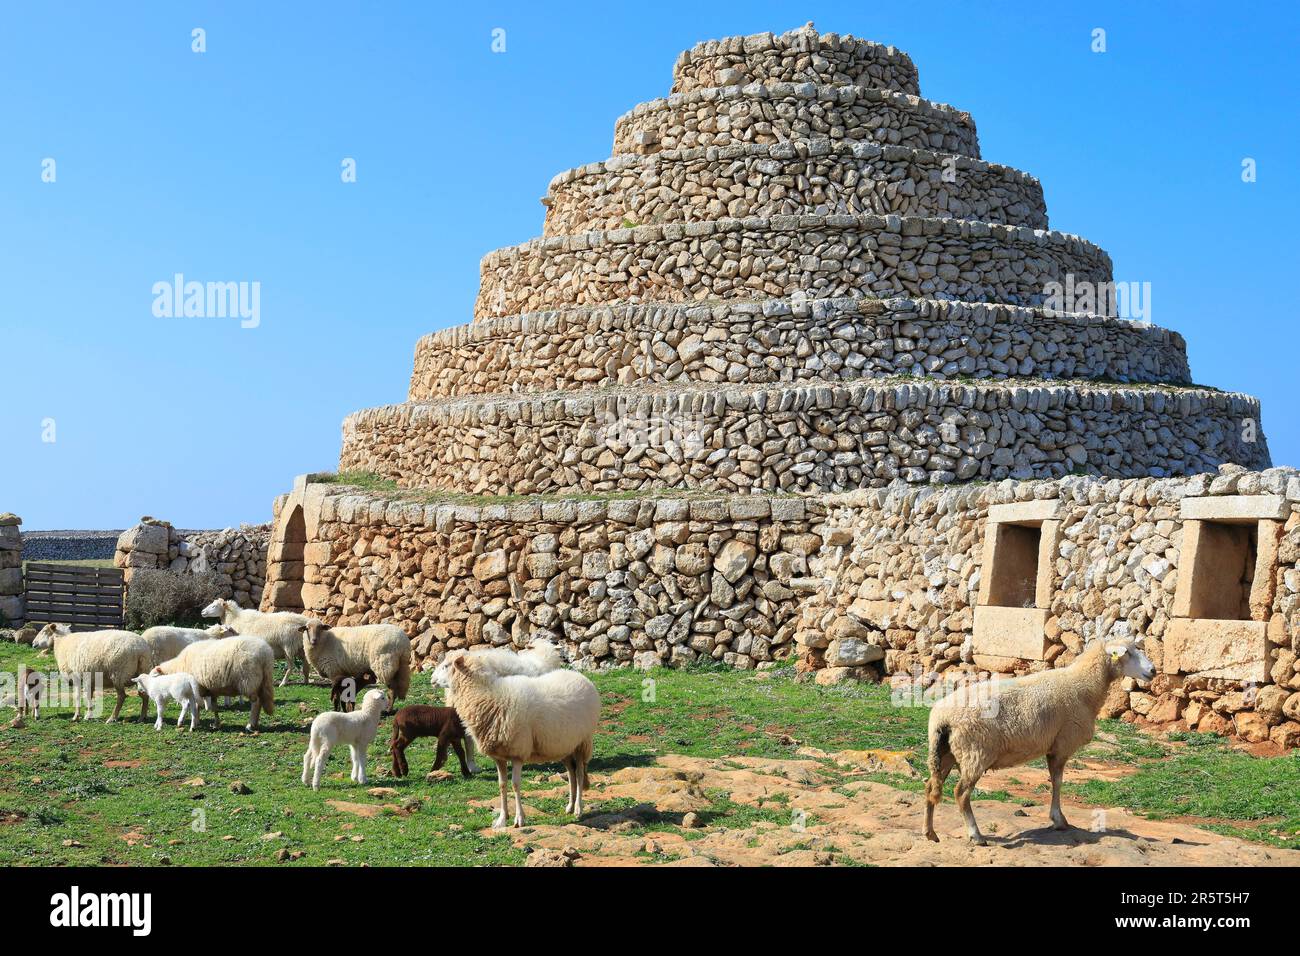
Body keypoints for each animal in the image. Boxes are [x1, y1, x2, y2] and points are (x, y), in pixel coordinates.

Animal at [449, 655, 600, 827]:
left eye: (447, 666)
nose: (434, 681)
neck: (487, 694)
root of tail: (581, 677)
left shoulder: (518, 753)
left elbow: (515, 784)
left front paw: (519, 819)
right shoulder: (499, 756)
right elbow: (502, 785)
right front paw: (502, 819)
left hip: (583, 742)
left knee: (580, 774)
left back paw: (578, 809)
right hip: (565, 746)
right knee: (571, 773)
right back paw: (570, 806)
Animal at [925, 634, 1159, 842]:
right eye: (1127, 652)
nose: (1153, 671)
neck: (1084, 685)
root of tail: (941, 718)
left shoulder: (1054, 746)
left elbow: (1054, 780)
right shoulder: (1062, 744)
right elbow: (1057, 781)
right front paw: (1058, 820)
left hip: (946, 753)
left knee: (930, 787)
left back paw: (930, 833)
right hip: (975, 752)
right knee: (961, 793)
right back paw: (975, 835)